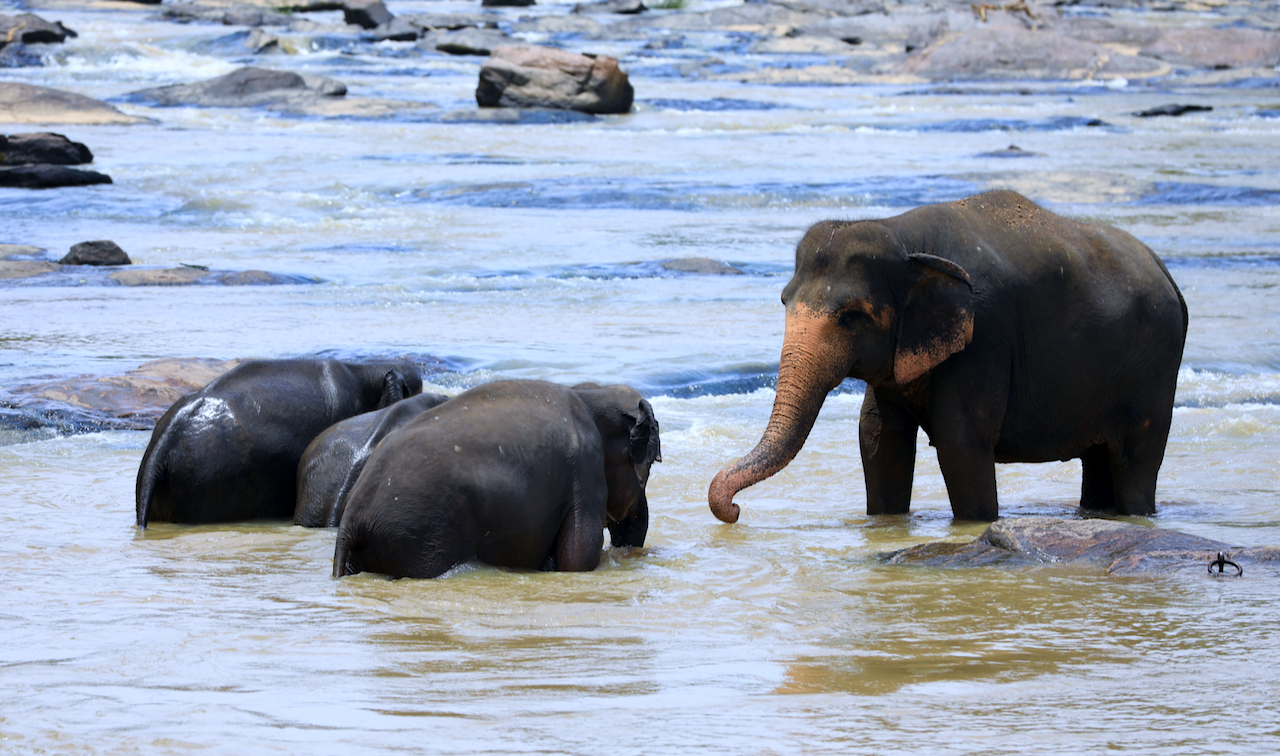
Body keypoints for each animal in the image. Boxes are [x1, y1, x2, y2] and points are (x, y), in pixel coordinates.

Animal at [332, 378, 660, 580]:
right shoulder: (584, 471)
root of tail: (351, 520)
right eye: (647, 472)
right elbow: (578, 558)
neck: (592, 394)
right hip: (419, 533)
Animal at [706, 189, 1182, 521]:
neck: (904, 238)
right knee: (1099, 460)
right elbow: (878, 437)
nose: (736, 511)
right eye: (784, 300)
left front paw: (978, 524)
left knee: (1136, 458)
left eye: (851, 317)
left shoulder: (983, 338)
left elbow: (961, 440)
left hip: (1154, 368)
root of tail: (1165, 271)